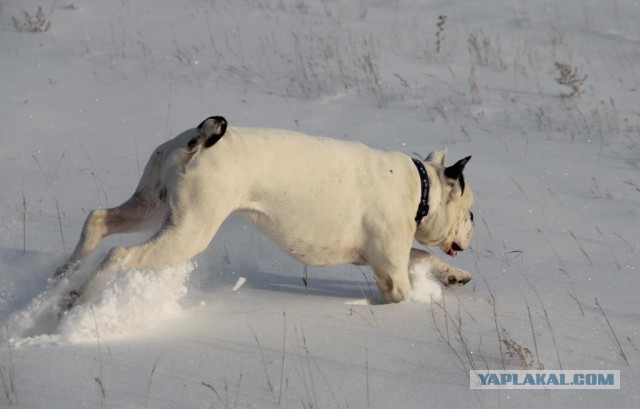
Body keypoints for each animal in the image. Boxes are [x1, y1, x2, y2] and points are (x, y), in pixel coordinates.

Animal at [55, 115, 472, 306]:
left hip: (152, 208)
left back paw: (63, 279)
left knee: (97, 221)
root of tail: (197, 140)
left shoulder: (381, 255)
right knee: (119, 254)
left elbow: (423, 257)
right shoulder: (390, 272)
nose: (473, 228)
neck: (422, 187)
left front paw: (454, 275)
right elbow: (407, 280)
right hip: (187, 232)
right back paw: (80, 299)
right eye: (471, 214)